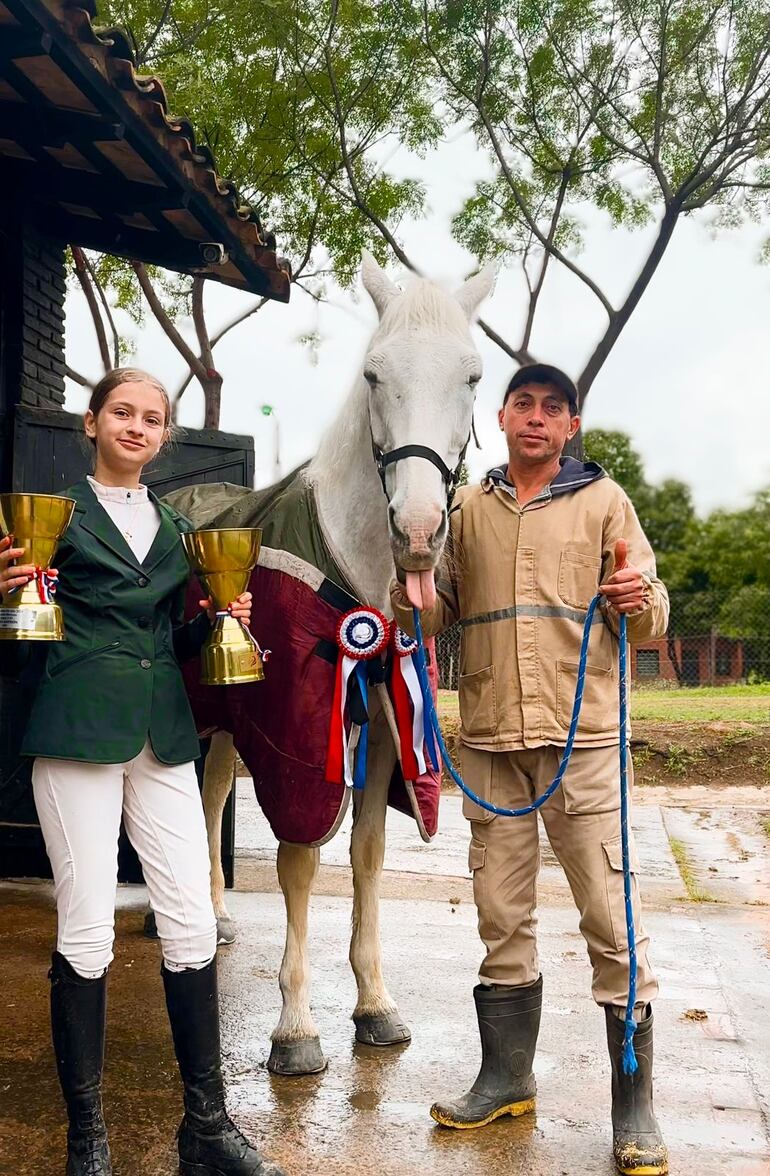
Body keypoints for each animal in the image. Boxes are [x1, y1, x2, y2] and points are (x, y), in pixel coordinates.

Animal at [197, 257, 493, 1077]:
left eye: (472, 375)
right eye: (372, 374)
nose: (419, 533)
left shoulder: (388, 730)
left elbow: (366, 855)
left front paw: (374, 1006)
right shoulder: (299, 744)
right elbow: (301, 860)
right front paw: (295, 1029)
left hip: (223, 725)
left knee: (208, 797)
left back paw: (214, 917)